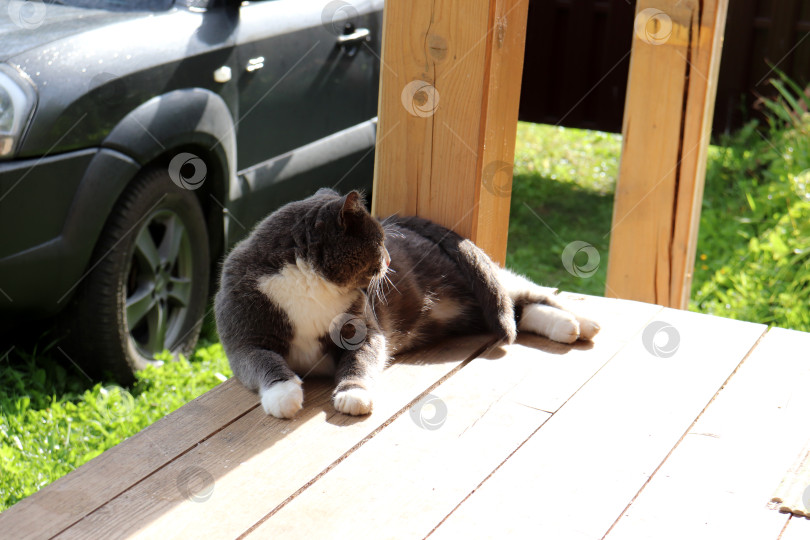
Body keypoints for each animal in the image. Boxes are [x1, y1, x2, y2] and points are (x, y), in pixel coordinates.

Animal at [211, 188, 596, 420]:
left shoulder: (365, 331)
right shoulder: (242, 342)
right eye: (378, 242)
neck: (310, 283)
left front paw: (354, 395)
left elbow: (360, 362)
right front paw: (284, 394)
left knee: (525, 292)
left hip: (484, 282)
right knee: (517, 310)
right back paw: (568, 327)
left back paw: (584, 323)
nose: (390, 260)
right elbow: (264, 361)